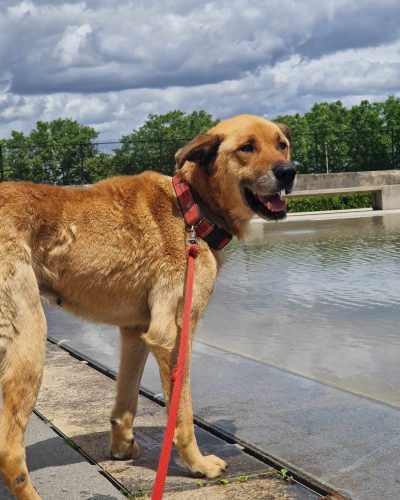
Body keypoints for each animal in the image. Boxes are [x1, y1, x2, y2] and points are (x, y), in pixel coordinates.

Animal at [0, 115, 294, 498]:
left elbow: (126, 400)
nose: (288, 172)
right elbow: (182, 414)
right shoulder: (173, 337)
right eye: (247, 147)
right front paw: (198, 464)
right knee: (9, 449)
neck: (191, 209)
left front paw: (122, 447)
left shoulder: (136, 331)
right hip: (30, 341)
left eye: (282, 145)